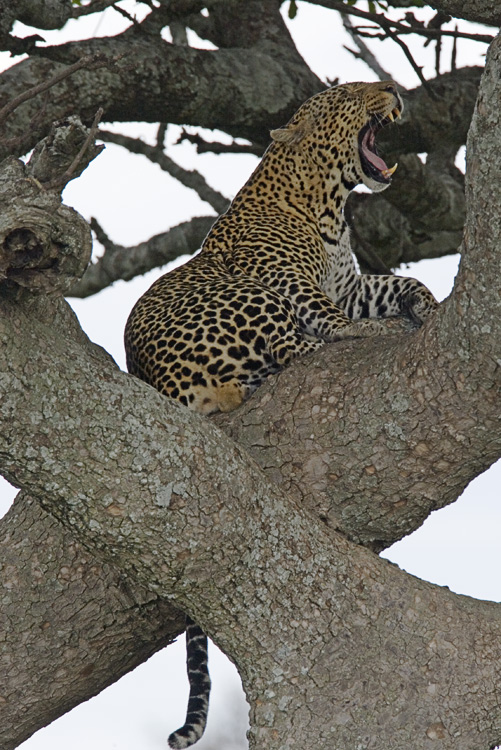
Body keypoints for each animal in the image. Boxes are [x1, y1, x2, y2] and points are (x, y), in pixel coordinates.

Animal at [124, 79, 438, 748]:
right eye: (351, 95)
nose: (392, 91)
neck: (330, 206)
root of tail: (157, 378)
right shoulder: (303, 290)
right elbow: (336, 324)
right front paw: (393, 323)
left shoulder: (352, 286)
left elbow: (399, 283)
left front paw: (427, 300)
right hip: (246, 295)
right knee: (304, 347)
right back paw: (368, 339)